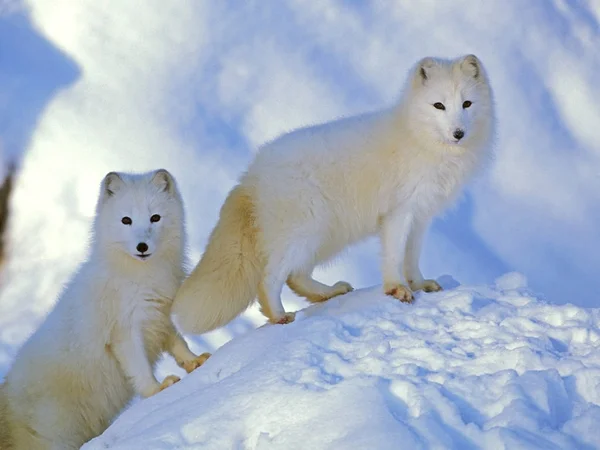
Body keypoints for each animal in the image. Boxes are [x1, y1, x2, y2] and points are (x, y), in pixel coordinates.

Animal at [0, 170, 211, 450]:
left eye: (155, 218)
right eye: (126, 220)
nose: (142, 246)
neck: (142, 277)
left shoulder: (160, 313)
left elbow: (179, 343)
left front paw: (194, 361)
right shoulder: (123, 330)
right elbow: (139, 368)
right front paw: (157, 389)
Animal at [172, 54, 492, 332]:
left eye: (467, 104)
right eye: (439, 105)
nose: (458, 133)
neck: (419, 139)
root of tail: (251, 174)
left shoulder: (421, 216)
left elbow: (411, 259)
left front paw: (419, 285)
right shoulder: (398, 213)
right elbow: (393, 256)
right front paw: (397, 289)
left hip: (324, 236)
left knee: (296, 277)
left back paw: (329, 293)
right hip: (304, 232)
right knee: (270, 278)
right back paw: (279, 316)